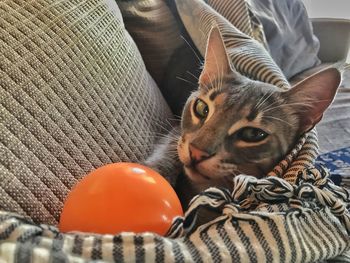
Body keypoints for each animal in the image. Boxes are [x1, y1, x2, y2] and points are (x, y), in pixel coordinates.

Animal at [144, 26, 340, 211]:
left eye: (253, 134)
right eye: (202, 108)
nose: (196, 152)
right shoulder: (176, 133)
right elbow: (168, 151)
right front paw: (156, 172)